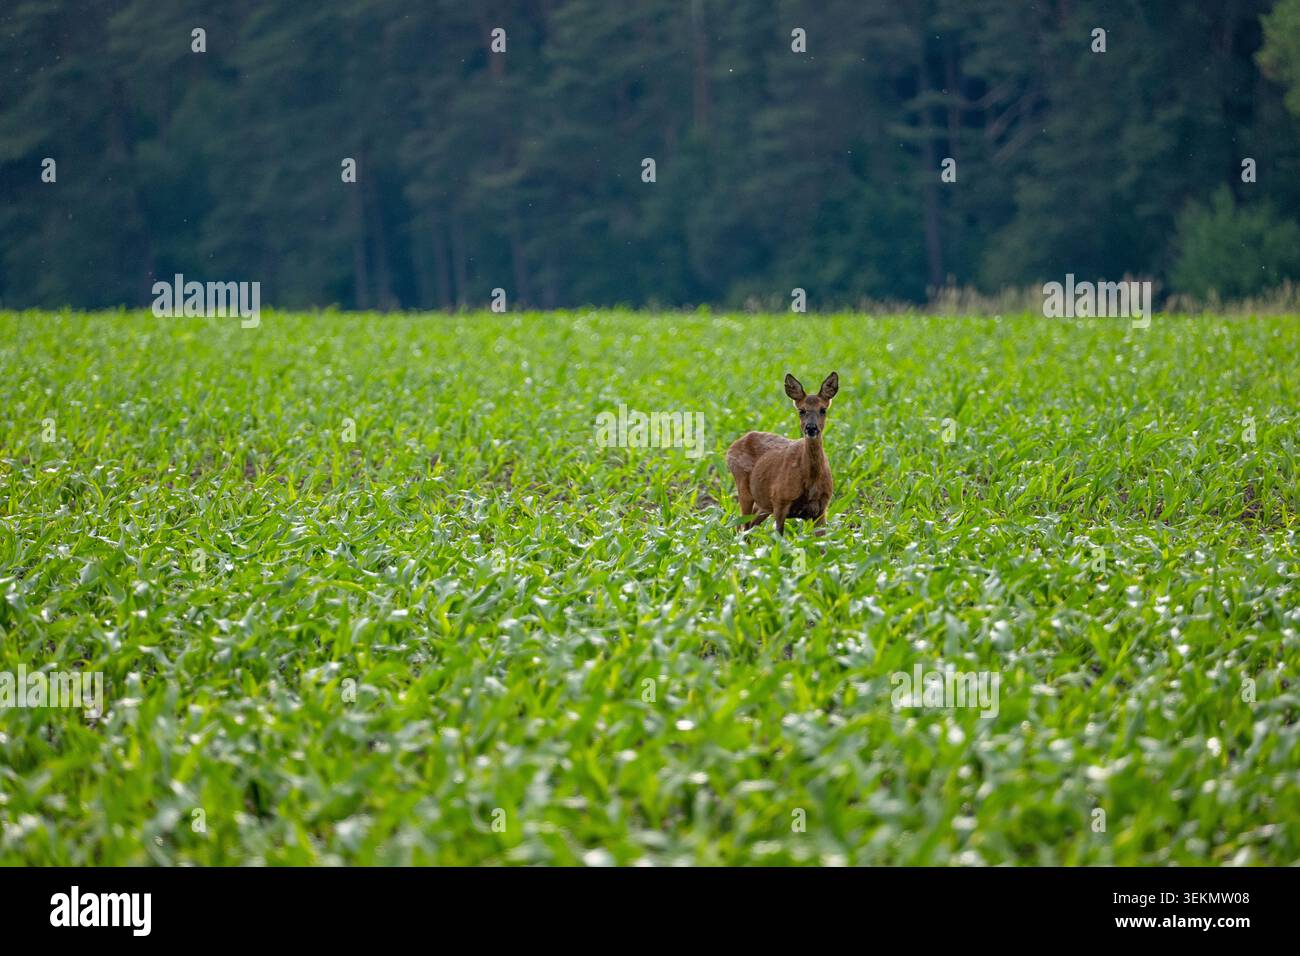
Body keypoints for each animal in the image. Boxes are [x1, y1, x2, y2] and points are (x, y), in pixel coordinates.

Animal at [726, 372, 838, 536]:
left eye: (823, 409)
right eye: (801, 410)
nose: (811, 428)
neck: (810, 482)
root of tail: (731, 447)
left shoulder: (822, 508)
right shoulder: (780, 500)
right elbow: (779, 536)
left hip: (763, 504)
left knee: (750, 526)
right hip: (743, 486)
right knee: (743, 527)